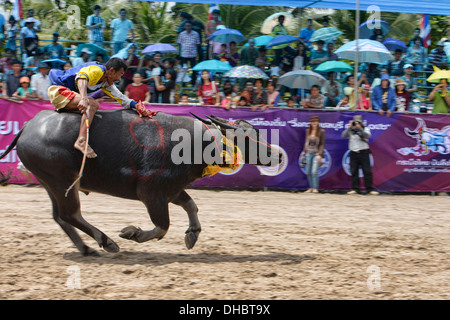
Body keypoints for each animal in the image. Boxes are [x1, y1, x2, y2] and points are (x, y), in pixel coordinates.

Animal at [1, 109, 280, 256]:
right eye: (248, 136)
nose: (276, 154)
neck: (197, 144)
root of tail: (28, 126)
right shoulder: (151, 194)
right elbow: (162, 226)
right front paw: (131, 233)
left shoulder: (172, 191)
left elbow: (191, 206)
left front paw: (192, 234)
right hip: (63, 183)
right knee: (71, 214)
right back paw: (107, 242)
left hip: (51, 183)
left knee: (60, 216)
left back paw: (87, 248)